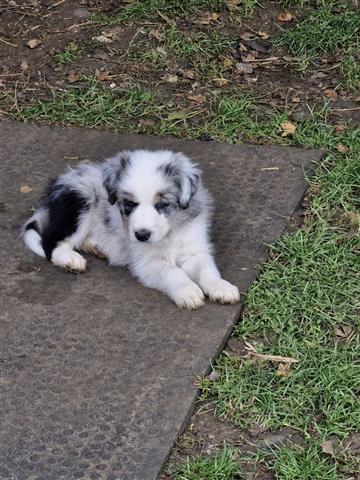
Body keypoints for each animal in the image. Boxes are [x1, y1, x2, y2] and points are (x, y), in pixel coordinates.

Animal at [23, 148, 240, 310]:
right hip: (80, 199)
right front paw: (188, 291)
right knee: (50, 242)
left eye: (162, 204)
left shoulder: (194, 250)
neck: (168, 234)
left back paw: (97, 247)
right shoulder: (146, 262)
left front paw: (222, 288)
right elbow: (171, 272)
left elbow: (206, 271)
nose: (142, 235)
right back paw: (71, 259)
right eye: (129, 204)